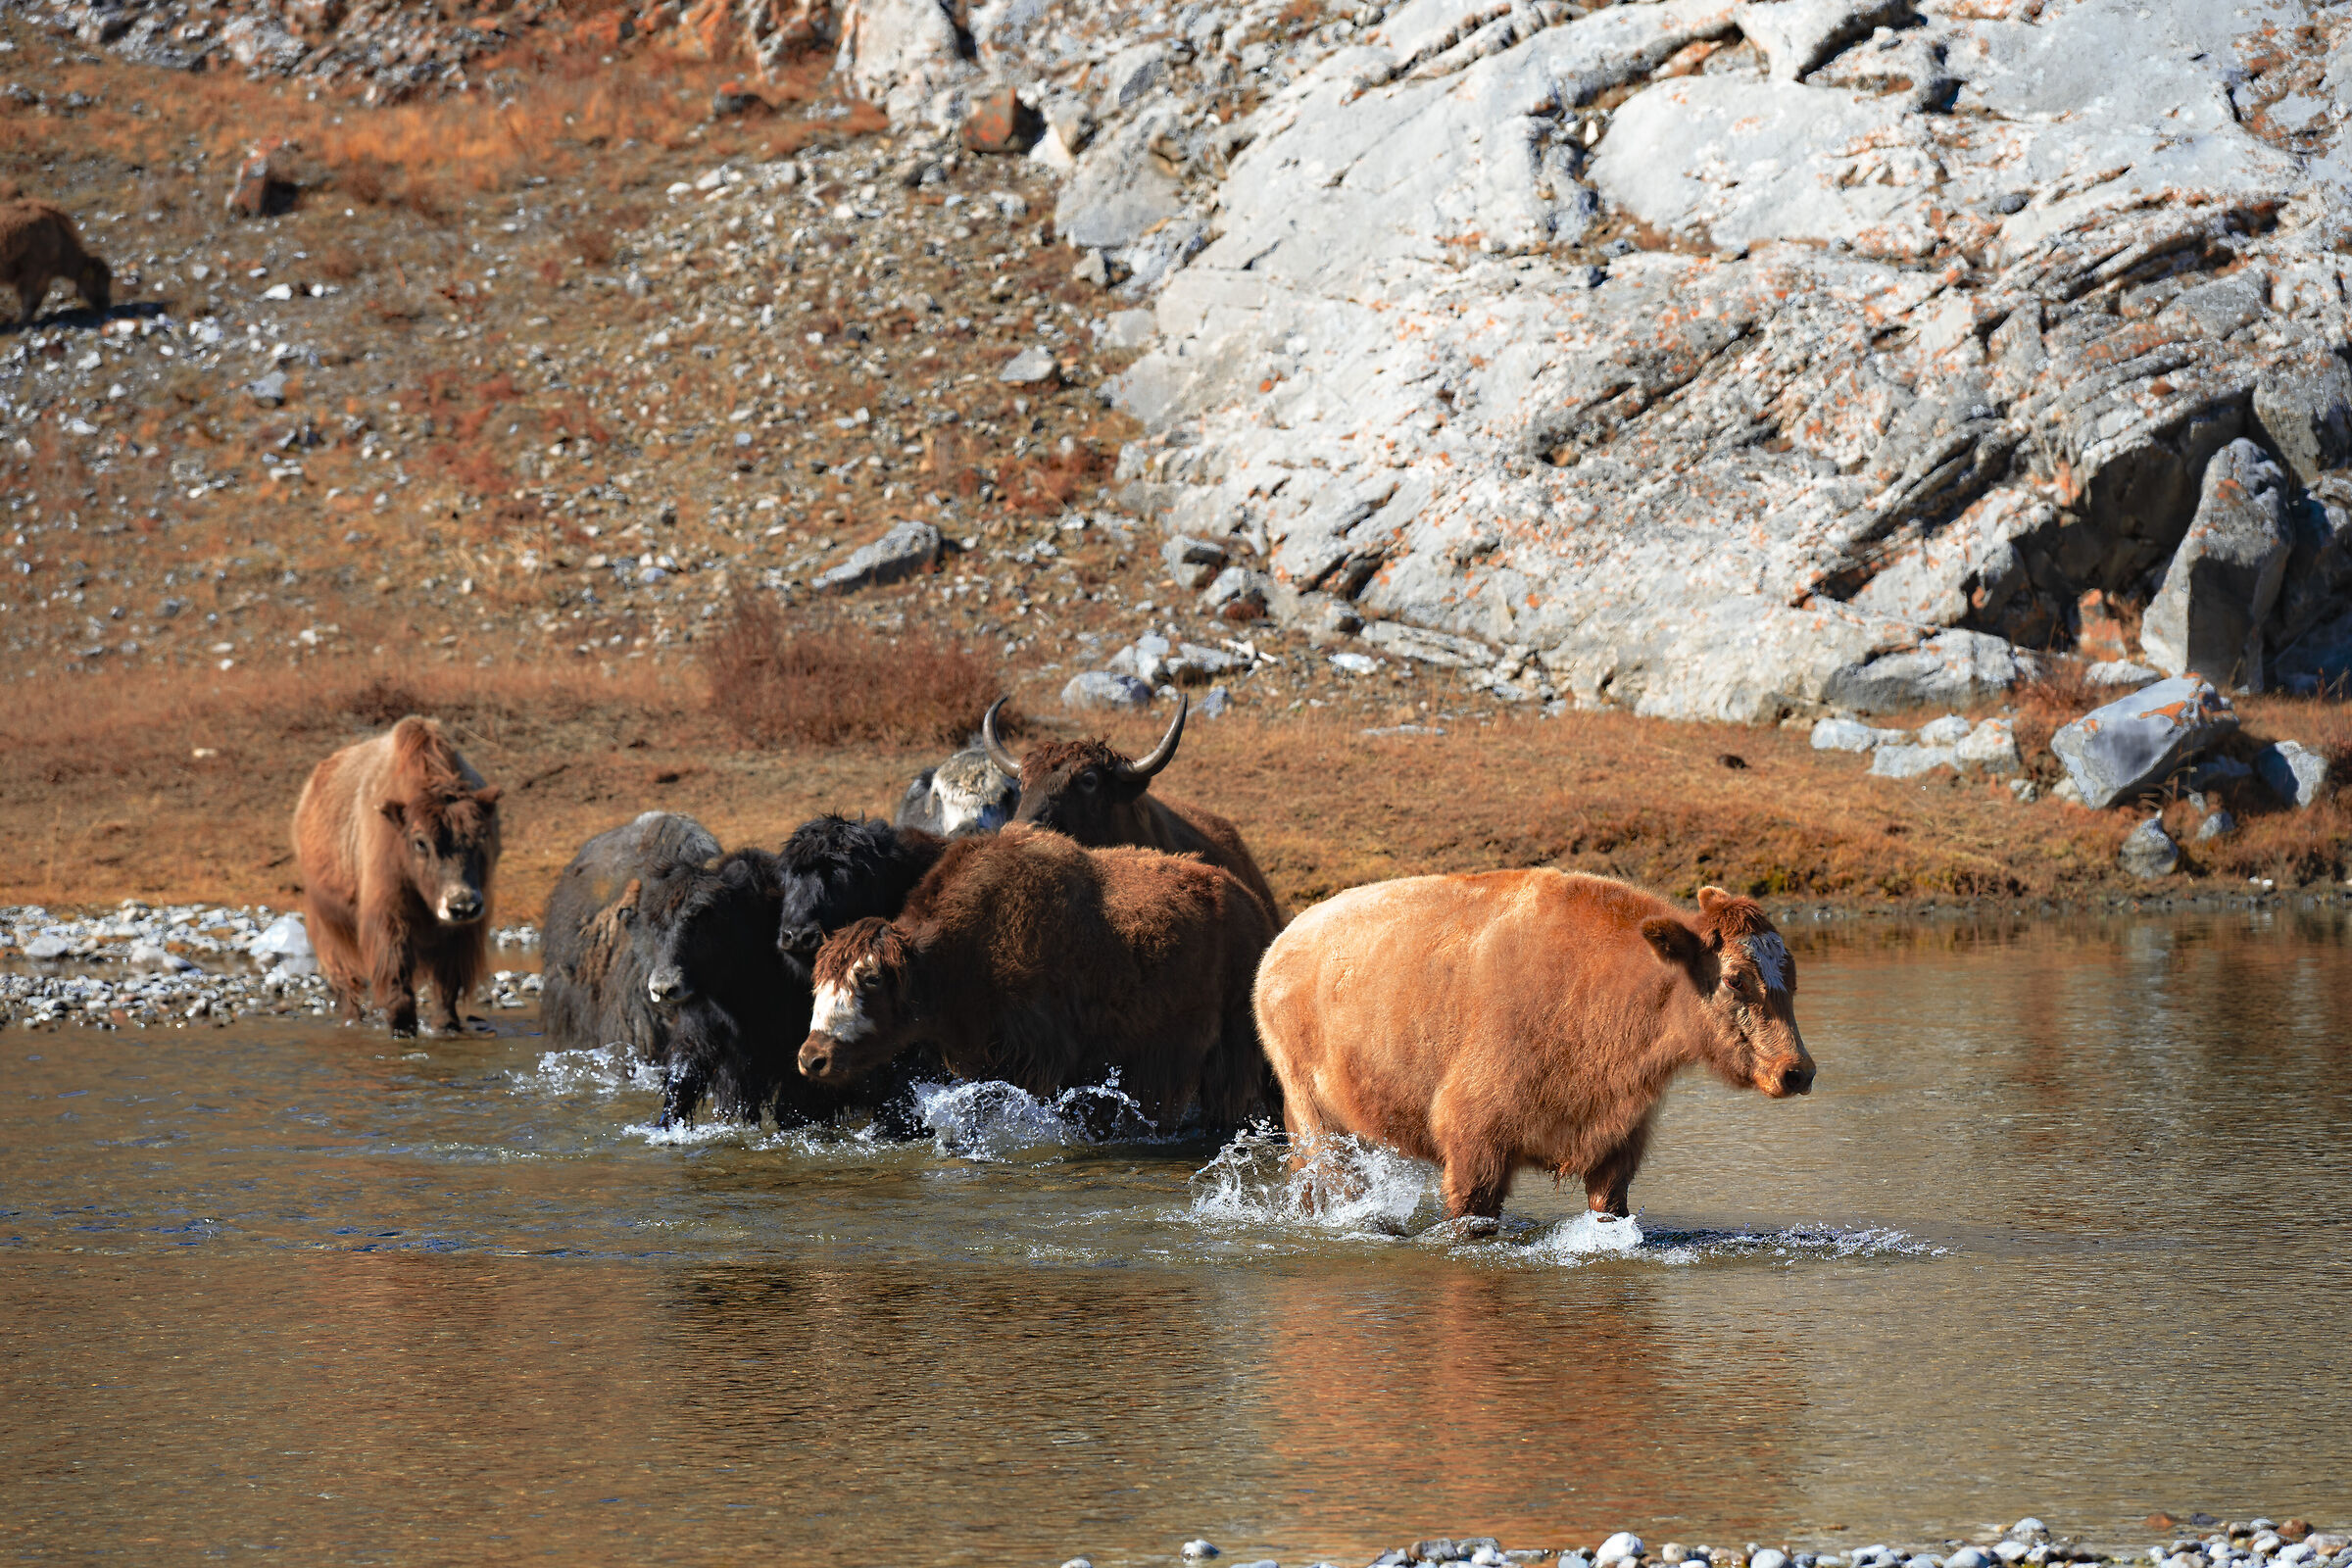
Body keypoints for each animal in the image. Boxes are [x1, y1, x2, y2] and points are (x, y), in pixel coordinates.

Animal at [291, 716, 502, 1038]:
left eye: (481, 835)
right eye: (420, 842)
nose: (462, 905)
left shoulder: (463, 932)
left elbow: (447, 986)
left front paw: (447, 1027)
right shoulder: (387, 915)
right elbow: (396, 979)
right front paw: (402, 1029)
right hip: (326, 921)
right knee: (345, 983)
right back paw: (352, 1021)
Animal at [797, 824, 1280, 1130]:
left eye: (871, 979)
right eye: (817, 982)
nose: (812, 1059)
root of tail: (1253, 905)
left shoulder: (1039, 1057)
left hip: (1234, 1049)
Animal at [1252, 874, 1816, 1226]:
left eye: (1791, 976)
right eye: (1734, 978)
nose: (1798, 1071)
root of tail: (1278, 947)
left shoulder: (1616, 1149)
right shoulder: (1472, 1145)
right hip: (1315, 1121)